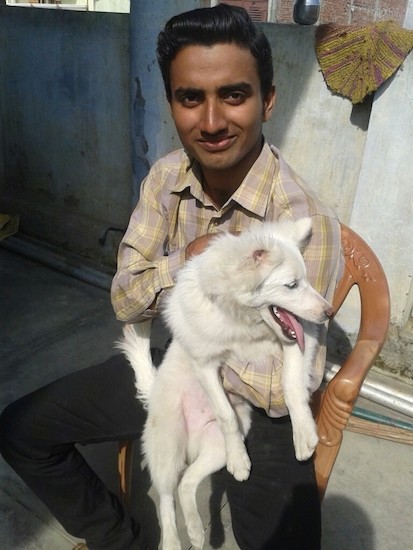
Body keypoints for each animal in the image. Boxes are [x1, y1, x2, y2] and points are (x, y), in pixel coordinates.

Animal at [116, 220, 332, 550]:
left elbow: (291, 386)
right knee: (165, 496)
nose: (328, 312)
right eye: (291, 285)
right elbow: (225, 413)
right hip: (167, 445)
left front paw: (304, 434)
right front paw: (241, 459)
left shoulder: (298, 340)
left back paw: (196, 528)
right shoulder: (205, 363)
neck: (246, 324)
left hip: (215, 448)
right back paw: (173, 540)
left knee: (187, 482)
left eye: (306, 280)